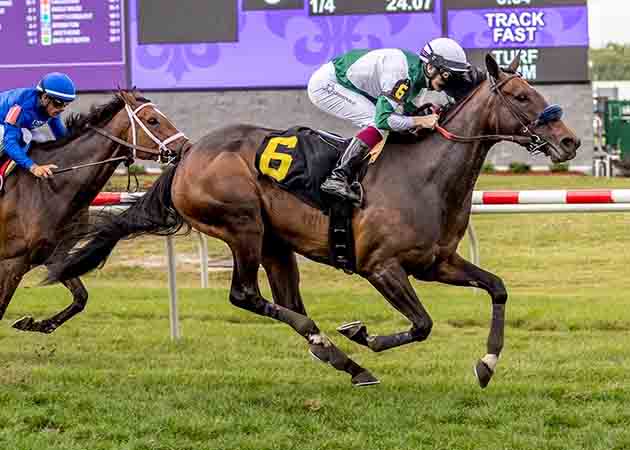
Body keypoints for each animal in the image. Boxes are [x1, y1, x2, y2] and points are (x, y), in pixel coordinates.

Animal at [0, 89, 188, 332]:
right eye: (152, 120)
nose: (186, 147)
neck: (52, 186)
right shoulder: (12, 261)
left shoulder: (54, 254)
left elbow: (81, 297)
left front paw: (35, 324)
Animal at [48, 55, 584, 386]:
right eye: (521, 97)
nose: (570, 141)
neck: (425, 174)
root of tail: (188, 154)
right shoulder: (381, 267)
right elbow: (423, 324)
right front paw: (364, 333)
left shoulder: (438, 262)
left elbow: (497, 288)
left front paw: (487, 364)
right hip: (242, 225)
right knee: (245, 295)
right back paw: (336, 346)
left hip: (275, 243)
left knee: (285, 301)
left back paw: (337, 356)